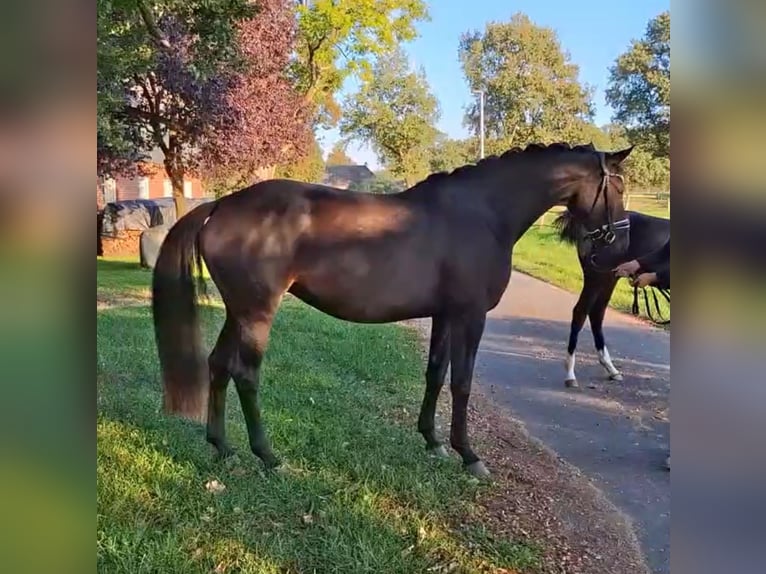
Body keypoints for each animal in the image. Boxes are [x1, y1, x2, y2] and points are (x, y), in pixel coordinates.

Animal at [151, 142, 634, 478]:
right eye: (619, 186)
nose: (621, 244)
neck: (483, 213)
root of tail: (220, 205)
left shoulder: (445, 315)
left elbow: (436, 373)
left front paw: (433, 442)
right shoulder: (470, 316)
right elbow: (462, 382)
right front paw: (469, 456)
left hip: (238, 311)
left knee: (218, 365)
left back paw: (222, 447)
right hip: (256, 313)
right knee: (245, 374)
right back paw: (268, 456)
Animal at [552, 208, 670, 387]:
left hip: (609, 278)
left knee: (596, 314)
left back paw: (611, 369)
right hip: (597, 277)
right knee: (581, 312)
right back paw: (570, 373)